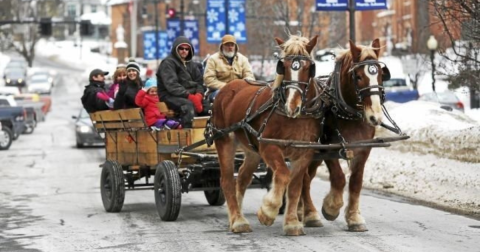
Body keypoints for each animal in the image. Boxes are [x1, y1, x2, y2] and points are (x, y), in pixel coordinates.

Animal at [214, 34, 322, 235]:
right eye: (283, 67)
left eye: (308, 68)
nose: (292, 106)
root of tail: (227, 87)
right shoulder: (269, 147)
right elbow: (283, 174)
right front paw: (268, 211)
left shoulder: (305, 152)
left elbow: (295, 186)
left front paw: (292, 222)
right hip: (224, 140)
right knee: (227, 180)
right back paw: (238, 220)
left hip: (252, 150)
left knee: (242, 177)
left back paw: (236, 215)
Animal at [302, 38, 388, 232]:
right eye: (358, 76)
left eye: (381, 75)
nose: (375, 117)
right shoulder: (328, 149)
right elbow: (339, 177)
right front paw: (331, 207)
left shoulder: (363, 150)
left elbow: (356, 182)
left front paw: (354, 218)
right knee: (303, 178)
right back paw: (310, 214)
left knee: (307, 177)